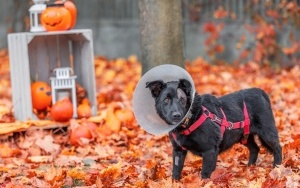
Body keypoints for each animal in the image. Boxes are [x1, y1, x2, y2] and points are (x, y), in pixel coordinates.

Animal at [146, 78, 282, 180]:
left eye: (182, 99)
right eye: (166, 99)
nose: (176, 115)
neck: (191, 118)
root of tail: (260, 91)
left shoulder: (209, 151)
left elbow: (205, 174)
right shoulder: (178, 150)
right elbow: (175, 171)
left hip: (267, 132)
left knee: (277, 147)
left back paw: (277, 167)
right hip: (243, 136)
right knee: (255, 148)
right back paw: (249, 168)